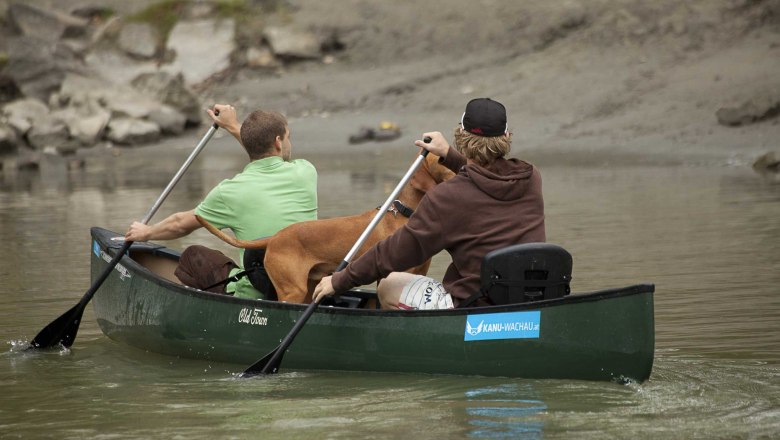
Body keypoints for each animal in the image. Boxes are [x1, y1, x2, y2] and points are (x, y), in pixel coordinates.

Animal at [198, 151, 454, 302]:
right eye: (442, 160)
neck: (404, 213)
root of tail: (274, 237)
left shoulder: (418, 272)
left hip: (308, 287)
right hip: (293, 290)